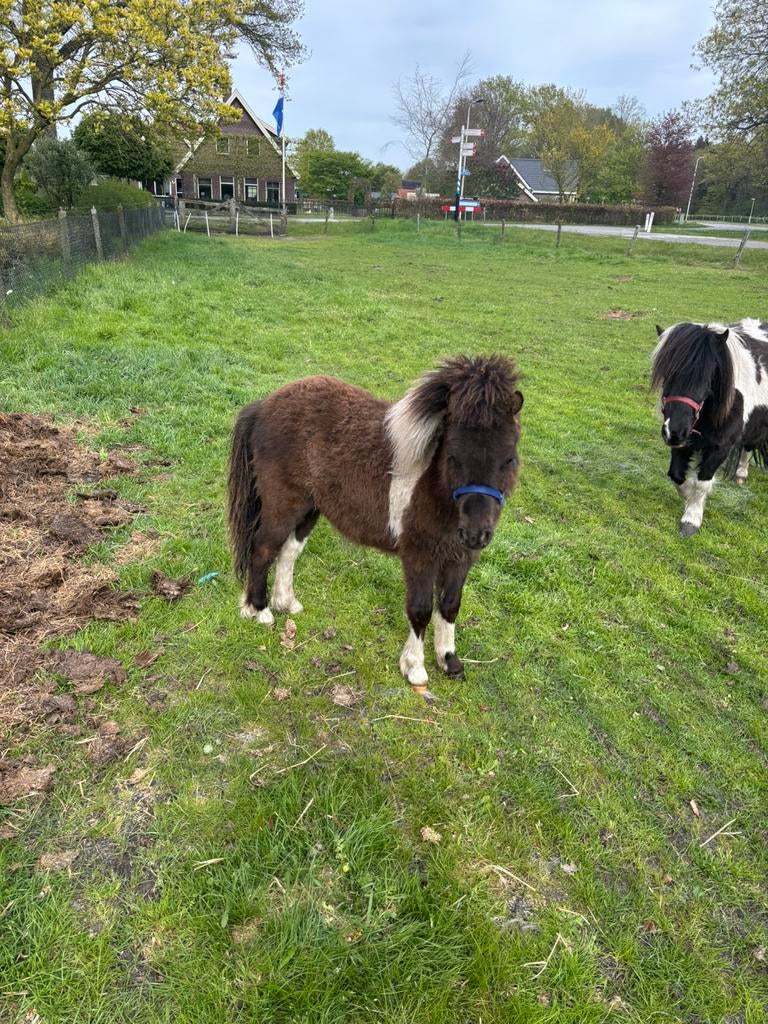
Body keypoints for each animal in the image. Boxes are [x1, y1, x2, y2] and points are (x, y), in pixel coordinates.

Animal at [228, 355, 523, 693]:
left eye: (509, 458)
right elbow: (420, 610)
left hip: (309, 508)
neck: (434, 488)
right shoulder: (419, 557)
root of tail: (264, 405)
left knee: (288, 552)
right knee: (263, 549)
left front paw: (449, 661)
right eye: (453, 456)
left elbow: (449, 606)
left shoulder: (461, 558)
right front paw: (415, 668)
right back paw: (259, 610)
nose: (476, 534)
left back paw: (285, 603)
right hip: (283, 505)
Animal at [651, 318, 768, 536]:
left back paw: (741, 473)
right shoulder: (684, 443)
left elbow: (702, 483)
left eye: (707, 378)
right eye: (667, 374)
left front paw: (691, 518)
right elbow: (677, 476)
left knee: (749, 446)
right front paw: (687, 497)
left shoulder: (719, 447)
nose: (674, 432)